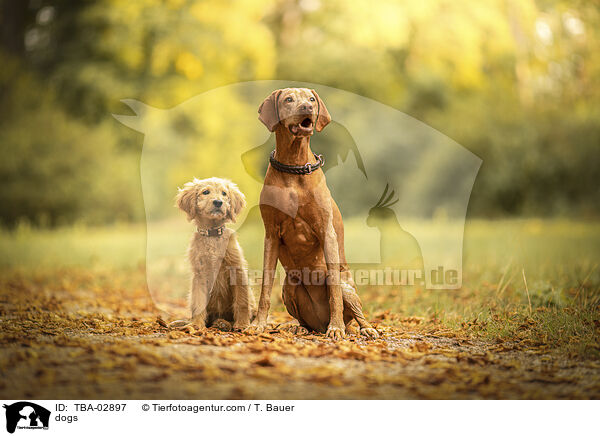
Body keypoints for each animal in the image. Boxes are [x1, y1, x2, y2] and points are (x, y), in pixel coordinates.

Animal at [170, 177, 254, 330]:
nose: (218, 202)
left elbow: (242, 300)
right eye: (205, 192)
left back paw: (224, 323)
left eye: (224, 193)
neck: (212, 234)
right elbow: (198, 303)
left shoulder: (237, 270)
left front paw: (243, 324)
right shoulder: (199, 275)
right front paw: (196, 325)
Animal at [246, 87, 378, 340]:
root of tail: (319, 323)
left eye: (311, 99)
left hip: (348, 287)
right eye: (289, 99)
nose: (307, 107)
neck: (294, 167)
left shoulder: (327, 233)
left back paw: (360, 328)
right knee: (304, 319)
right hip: (289, 285)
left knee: (354, 312)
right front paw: (258, 324)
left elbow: (333, 290)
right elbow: (265, 287)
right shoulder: (271, 235)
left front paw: (335, 328)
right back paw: (300, 327)